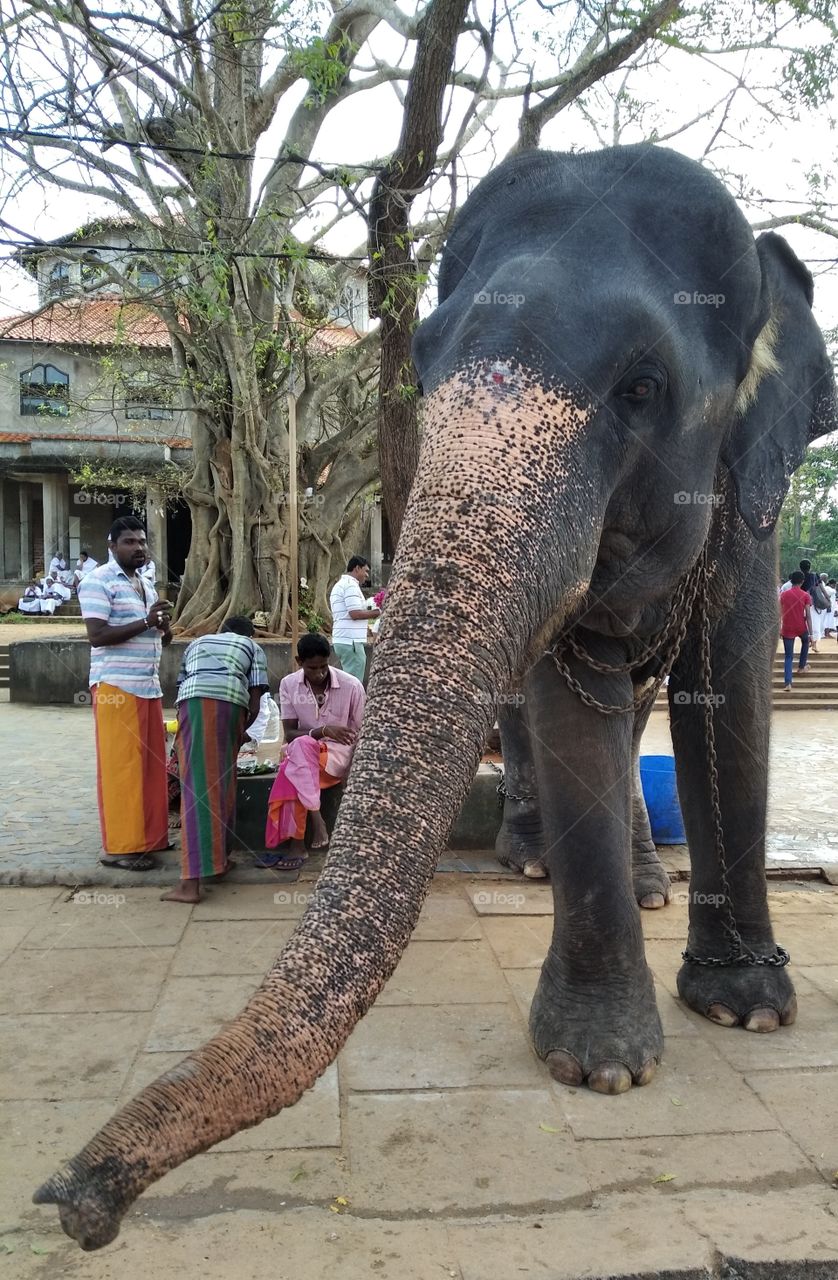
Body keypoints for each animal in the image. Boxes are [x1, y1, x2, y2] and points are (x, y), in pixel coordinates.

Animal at [35, 143, 835, 1250]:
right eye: (420, 363)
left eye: (642, 386)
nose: (76, 1202)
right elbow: (575, 695)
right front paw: (601, 1063)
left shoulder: (751, 504)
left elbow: (730, 688)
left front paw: (747, 1010)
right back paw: (537, 861)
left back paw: (645, 888)